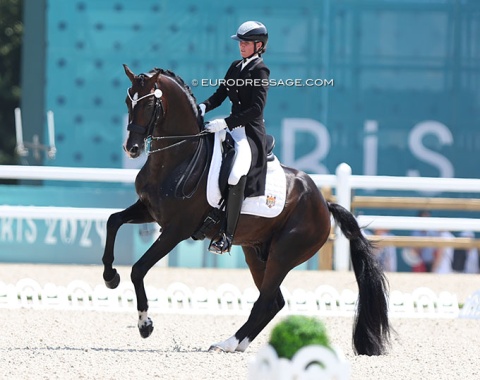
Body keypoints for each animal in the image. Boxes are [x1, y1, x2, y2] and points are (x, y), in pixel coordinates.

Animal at [101, 64, 390, 356]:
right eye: (128, 101)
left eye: (150, 104)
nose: (132, 148)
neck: (178, 157)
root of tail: (323, 203)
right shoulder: (149, 210)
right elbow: (113, 221)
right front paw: (110, 277)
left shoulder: (176, 230)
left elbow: (138, 269)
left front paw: (145, 325)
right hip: (255, 252)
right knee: (274, 301)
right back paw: (237, 344)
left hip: (284, 254)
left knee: (266, 301)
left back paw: (226, 343)